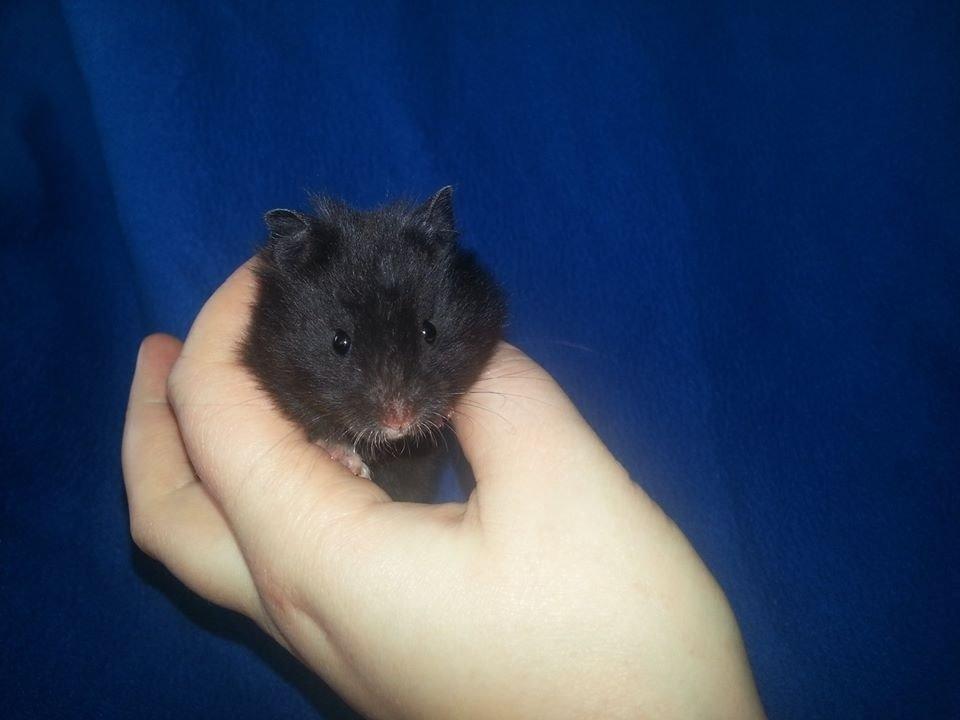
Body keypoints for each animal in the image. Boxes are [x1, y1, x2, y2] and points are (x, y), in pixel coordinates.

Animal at [241, 187, 506, 501]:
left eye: (429, 331)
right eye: (340, 342)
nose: (399, 422)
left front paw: (443, 415)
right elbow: (319, 426)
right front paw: (352, 464)